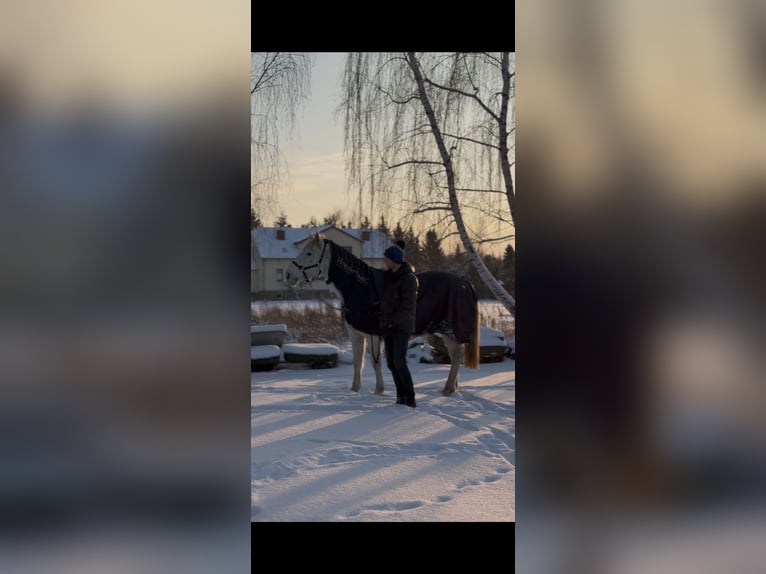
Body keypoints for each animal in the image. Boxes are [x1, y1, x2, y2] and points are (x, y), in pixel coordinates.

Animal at [285, 233, 480, 395]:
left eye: (309, 253)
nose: (288, 275)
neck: (363, 289)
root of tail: (465, 282)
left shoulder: (373, 335)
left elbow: (375, 362)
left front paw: (379, 390)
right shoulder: (356, 335)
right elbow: (358, 362)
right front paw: (354, 390)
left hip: (451, 331)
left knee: (456, 358)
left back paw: (447, 389)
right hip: (447, 334)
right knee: (455, 357)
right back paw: (453, 388)